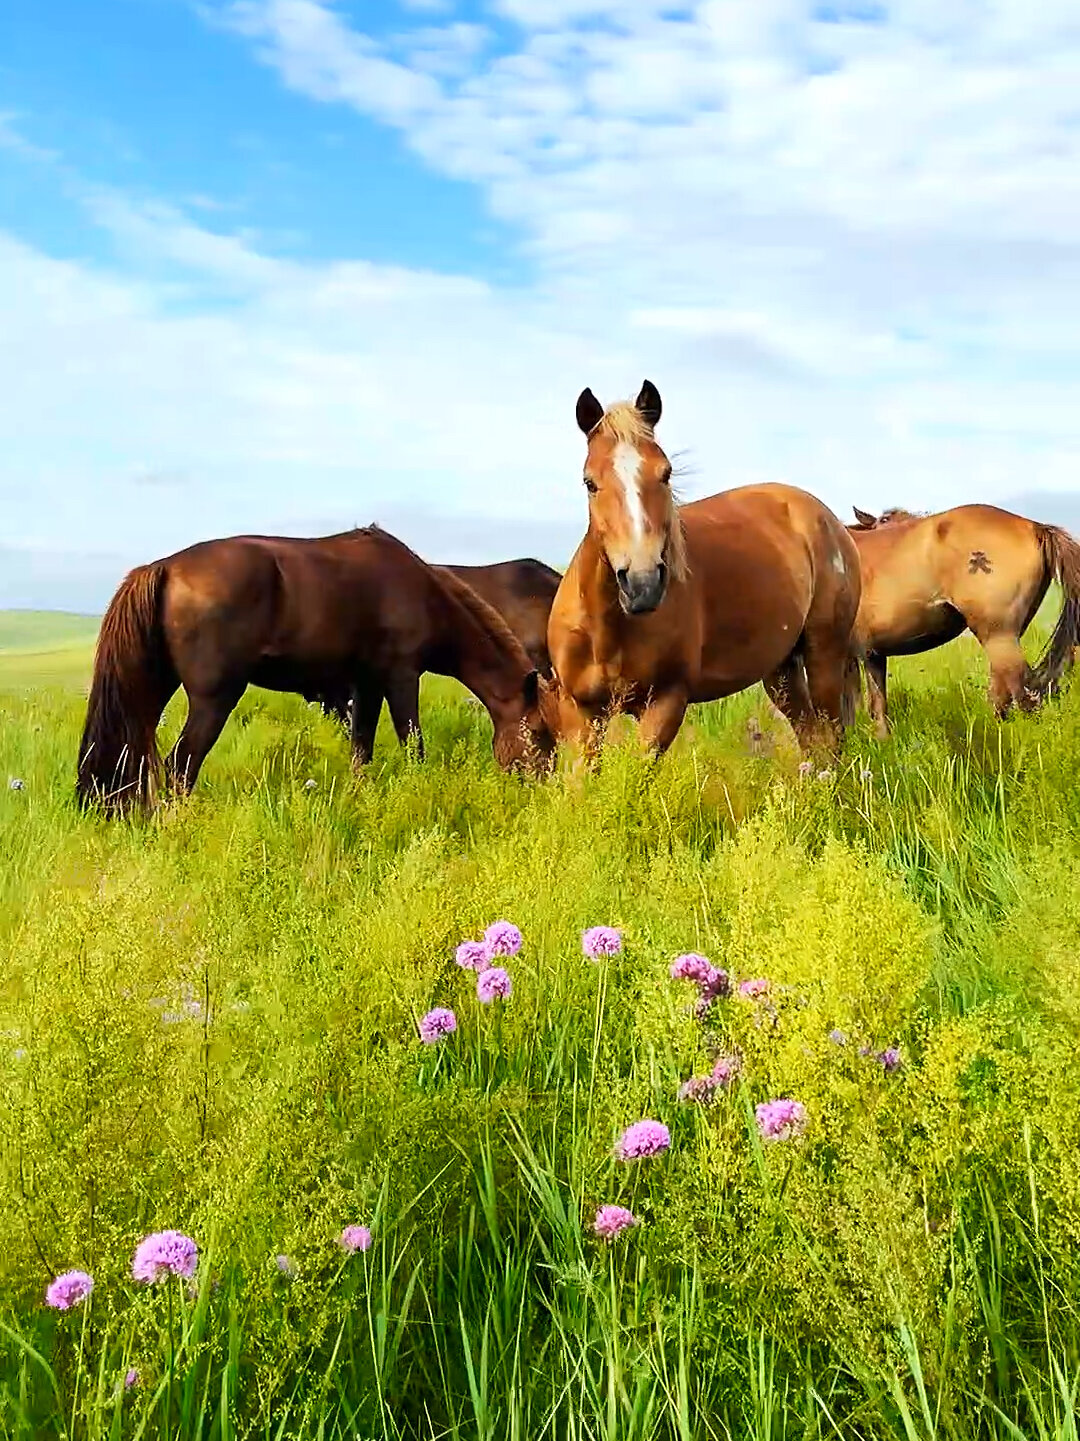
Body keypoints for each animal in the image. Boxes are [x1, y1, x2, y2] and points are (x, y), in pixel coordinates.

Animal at [546, 380, 862, 758]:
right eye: (589, 482)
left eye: (666, 473)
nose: (642, 583)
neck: (607, 630)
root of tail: (828, 520)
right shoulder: (579, 712)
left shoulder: (665, 703)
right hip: (782, 669)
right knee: (811, 738)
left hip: (824, 654)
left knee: (831, 739)